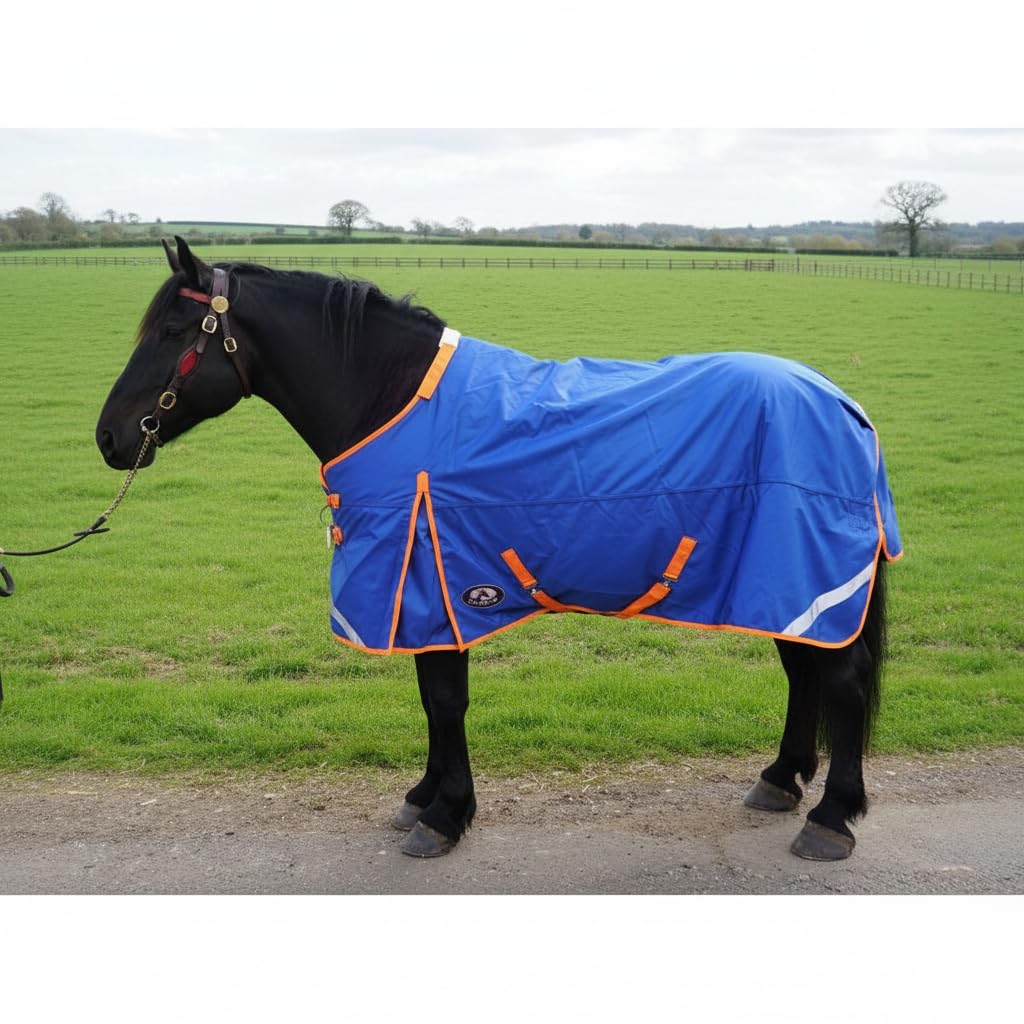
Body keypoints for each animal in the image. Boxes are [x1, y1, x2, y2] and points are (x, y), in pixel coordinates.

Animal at [96, 237, 902, 862]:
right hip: (780, 586)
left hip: (807, 574)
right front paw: (424, 797)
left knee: (842, 680)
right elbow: (430, 699)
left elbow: (444, 700)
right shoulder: (424, 595)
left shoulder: (433, 586)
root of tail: (844, 405)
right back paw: (780, 779)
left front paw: (445, 815)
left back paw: (831, 818)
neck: (395, 404)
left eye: (173, 330)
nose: (109, 437)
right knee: (804, 671)